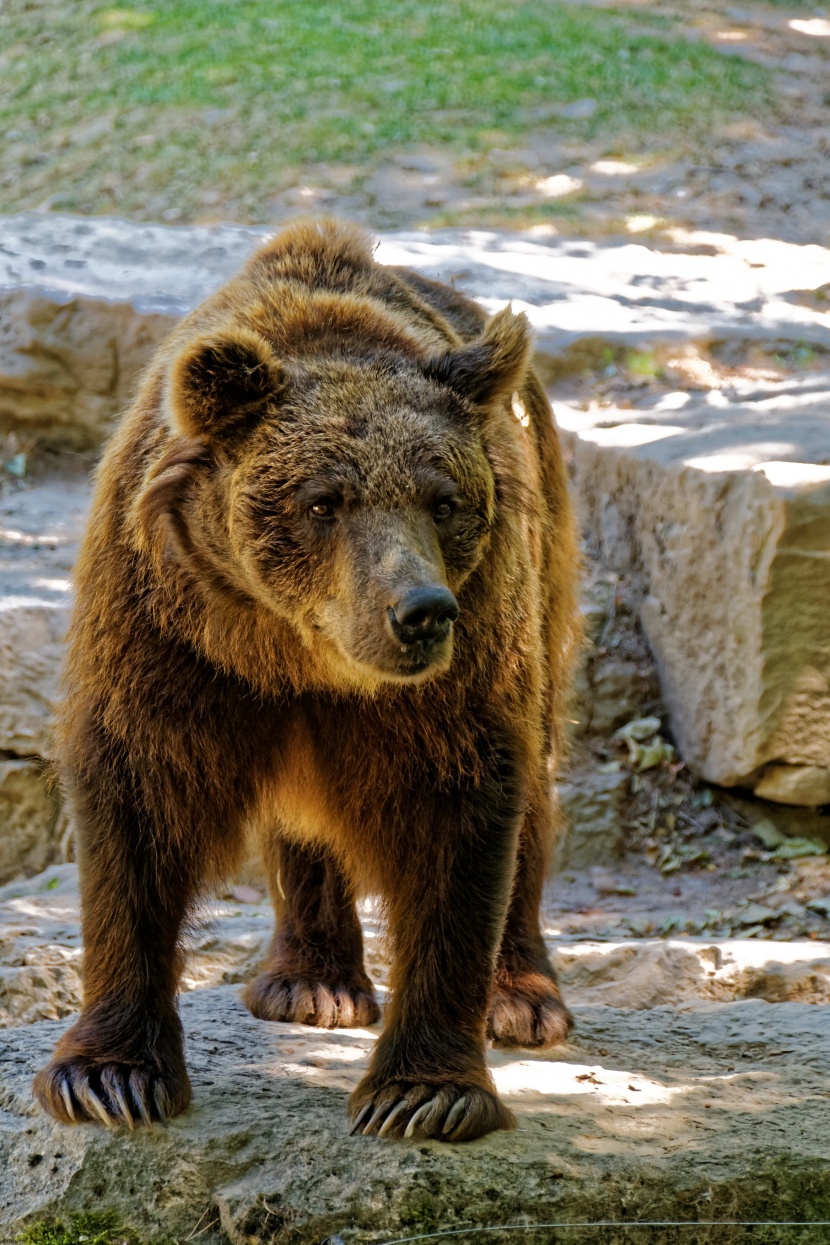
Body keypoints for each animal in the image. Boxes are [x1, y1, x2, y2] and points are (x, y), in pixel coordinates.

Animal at [32, 216, 577, 1140]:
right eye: (325, 501)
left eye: (443, 500)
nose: (420, 610)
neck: (293, 649)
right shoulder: (165, 627)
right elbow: (137, 794)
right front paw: (108, 1074)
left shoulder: (465, 658)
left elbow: (459, 807)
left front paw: (423, 1090)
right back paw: (310, 982)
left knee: (534, 780)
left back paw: (523, 996)